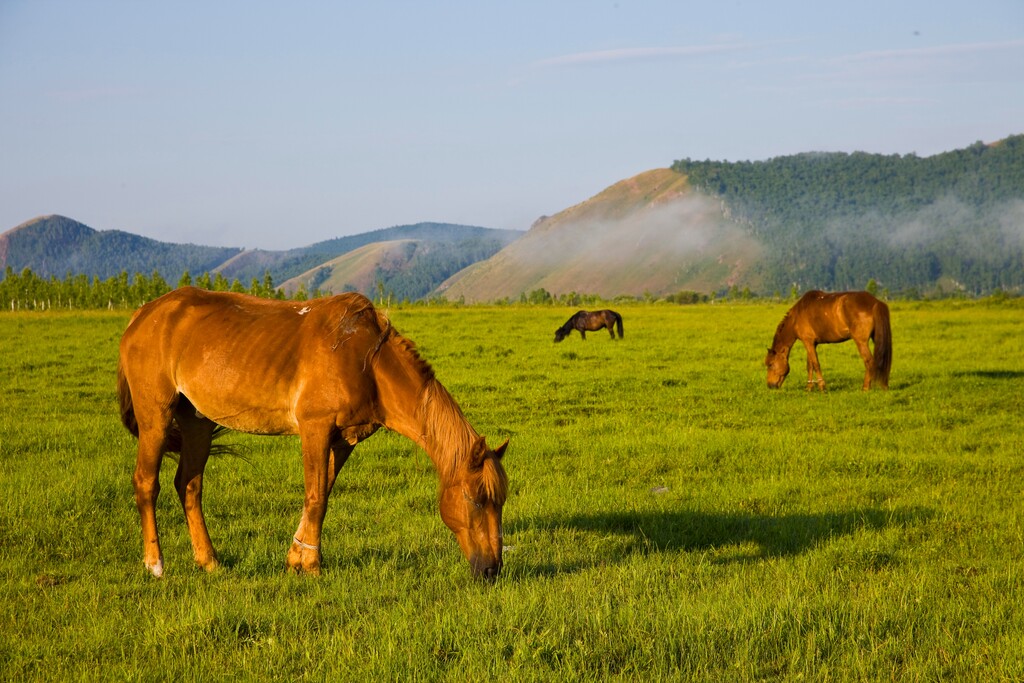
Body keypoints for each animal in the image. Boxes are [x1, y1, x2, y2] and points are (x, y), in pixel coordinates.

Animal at [117, 286, 509, 581]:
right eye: (476, 499)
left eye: (500, 501)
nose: (492, 570)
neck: (367, 360)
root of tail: (142, 314)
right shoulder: (315, 429)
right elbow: (316, 497)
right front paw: (312, 566)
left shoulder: (344, 440)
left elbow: (322, 497)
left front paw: (297, 559)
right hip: (155, 417)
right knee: (146, 483)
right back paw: (155, 564)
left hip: (197, 421)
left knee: (189, 486)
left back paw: (209, 561)